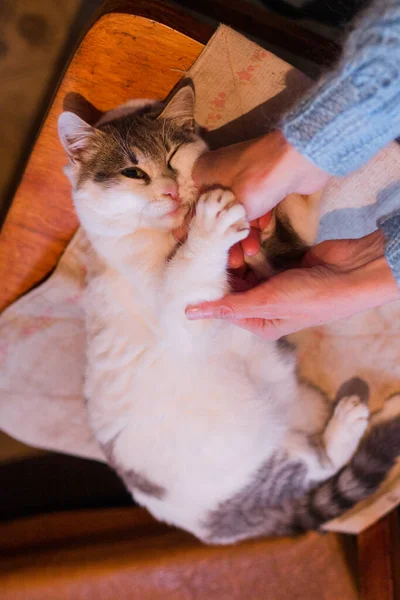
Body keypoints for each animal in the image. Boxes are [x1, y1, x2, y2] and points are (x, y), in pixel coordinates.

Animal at [57, 85, 398, 548]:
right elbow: (187, 282)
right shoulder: (182, 320)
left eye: (173, 155)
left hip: (300, 402)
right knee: (321, 467)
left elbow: (295, 238)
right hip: (262, 464)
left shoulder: (272, 267)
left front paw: (305, 177)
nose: (170, 190)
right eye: (133, 172)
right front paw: (211, 227)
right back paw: (351, 421)